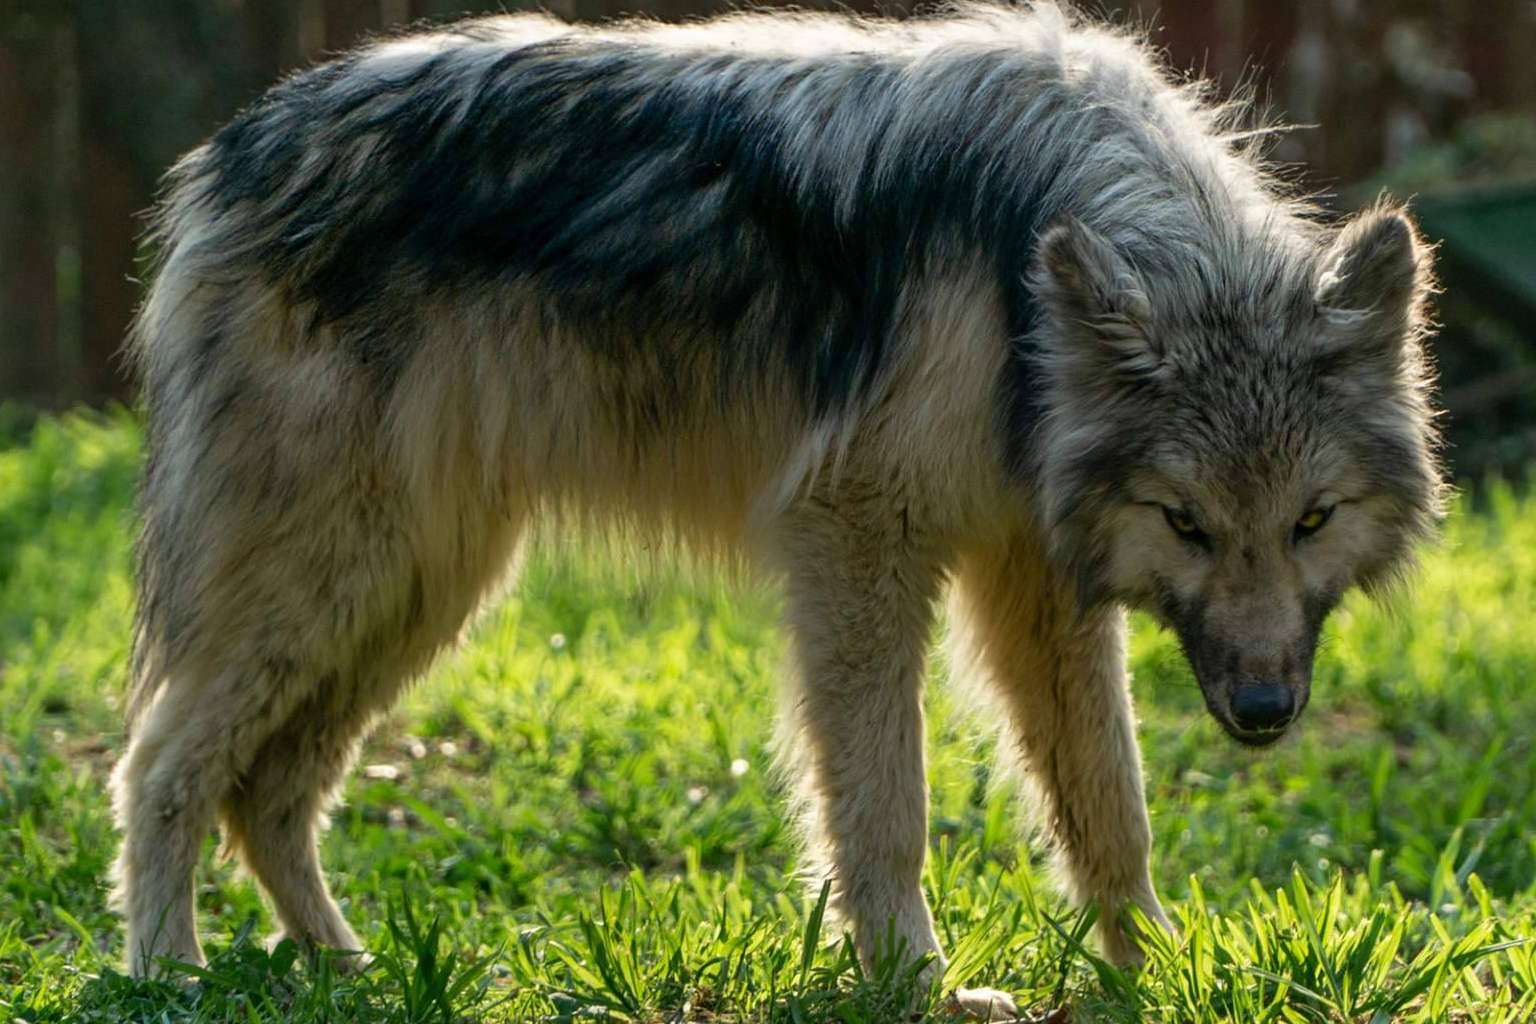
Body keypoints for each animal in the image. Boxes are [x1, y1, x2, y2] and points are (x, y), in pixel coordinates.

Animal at [110, 2, 1441, 1016]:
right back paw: (171, 973)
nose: (1264, 712)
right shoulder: (859, 537)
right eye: (1189, 523)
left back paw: (346, 969)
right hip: (337, 580)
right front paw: (913, 986)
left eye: (1311, 520)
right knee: (159, 765)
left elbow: (1110, 805)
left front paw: (1154, 978)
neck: (1028, 257)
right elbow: (886, 804)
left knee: (268, 793)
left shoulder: (1038, 575)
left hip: (414, 593)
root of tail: (234, 149)